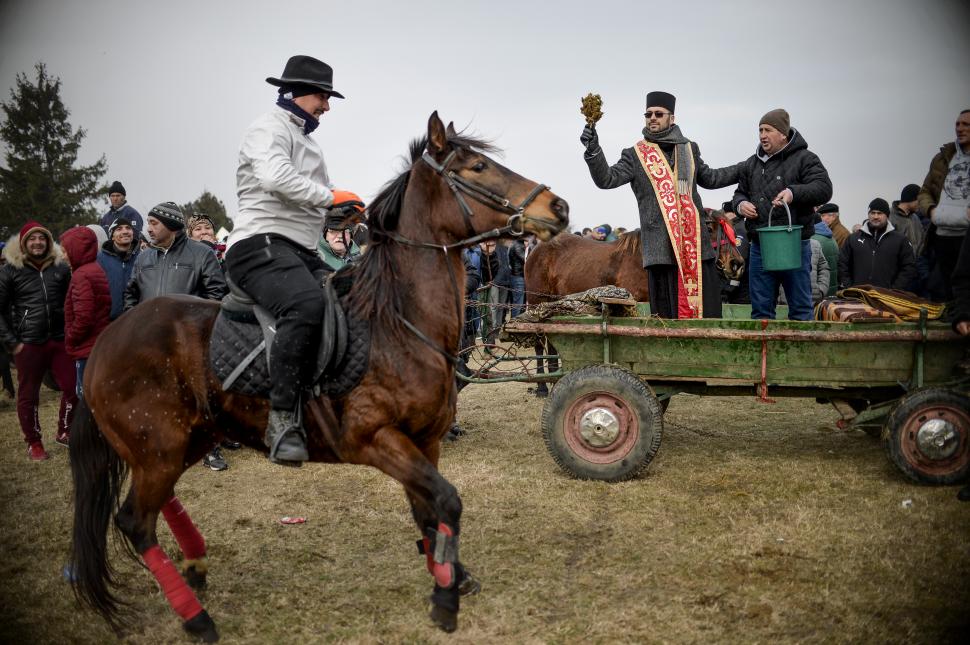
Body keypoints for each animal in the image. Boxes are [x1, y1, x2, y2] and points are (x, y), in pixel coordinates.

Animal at [70, 110, 568, 640]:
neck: (396, 322)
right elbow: (446, 502)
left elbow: (428, 511)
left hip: (185, 440)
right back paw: (196, 616)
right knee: (134, 522)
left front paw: (449, 572)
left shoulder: (424, 441)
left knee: (158, 504)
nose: (558, 207)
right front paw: (444, 598)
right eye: (476, 167)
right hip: (160, 446)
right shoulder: (375, 439)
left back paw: (196, 565)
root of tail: (105, 341)